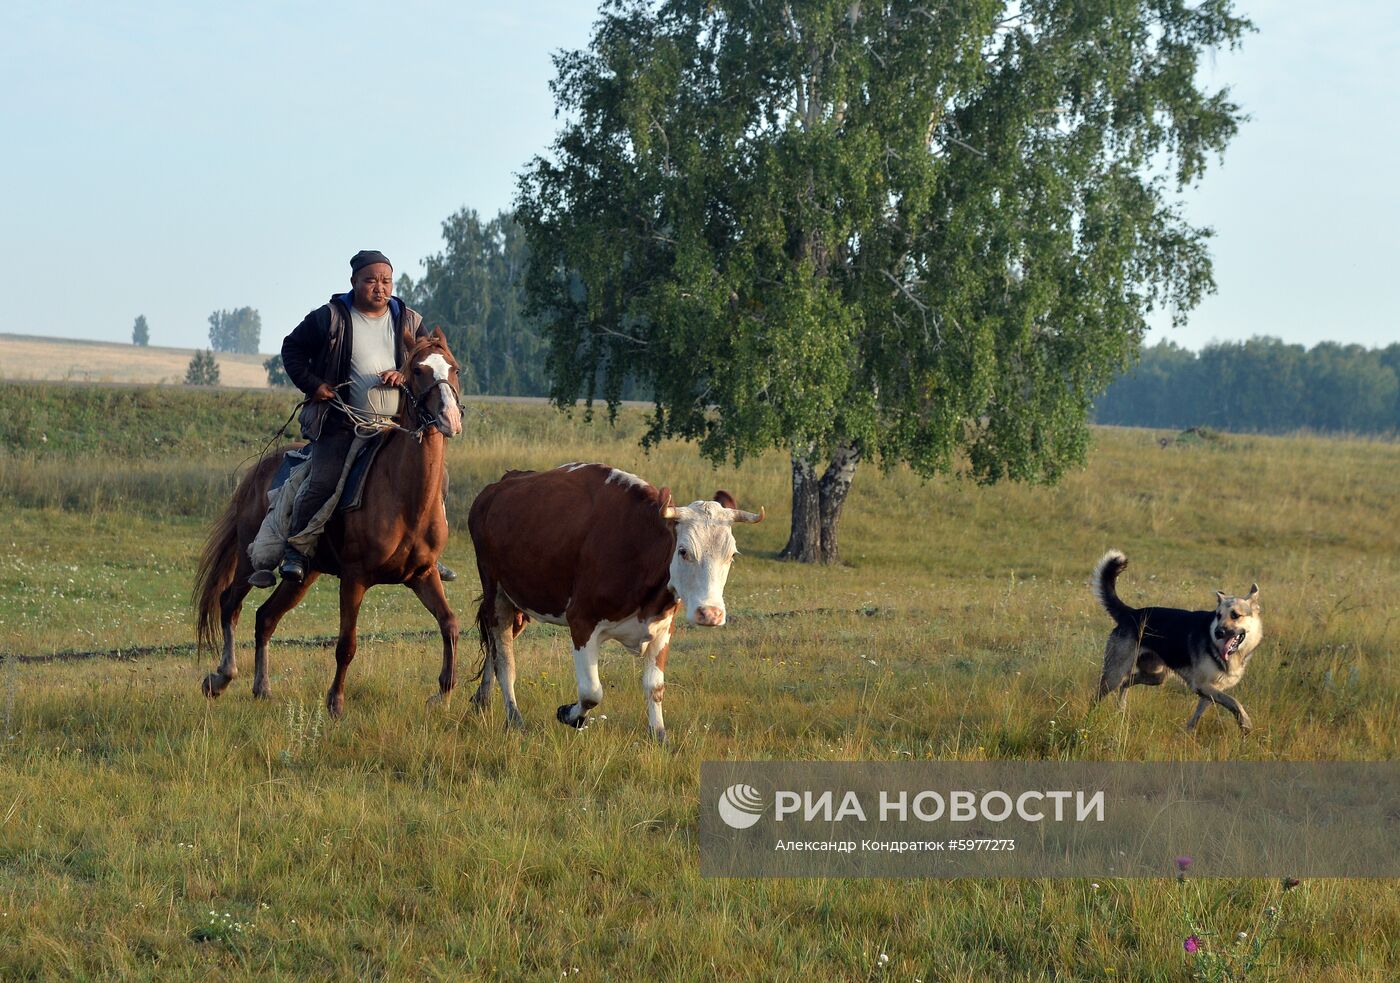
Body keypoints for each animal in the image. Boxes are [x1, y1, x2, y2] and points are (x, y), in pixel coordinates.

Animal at [194, 330, 464, 716]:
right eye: (417, 370)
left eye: (454, 368)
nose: (449, 417)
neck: (404, 496)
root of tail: (258, 471)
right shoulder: (354, 578)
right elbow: (346, 644)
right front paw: (335, 702)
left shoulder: (422, 575)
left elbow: (450, 624)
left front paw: (442, 693)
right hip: (249, 560)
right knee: (230, 603)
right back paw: (221, 677)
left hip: (305, 575)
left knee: (265, 617)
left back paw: (262, 688)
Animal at [464, 464, 761, 744]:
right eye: (684, 551)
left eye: (732, 555)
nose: (710, 614)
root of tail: (500, 484)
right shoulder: (581, 622)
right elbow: (591, 692)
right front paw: (569, 715)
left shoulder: (663, 628)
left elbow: (654, 687)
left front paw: (659, 736)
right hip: (496, 592)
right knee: (504, 658)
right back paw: (514, 719)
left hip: (519, 602)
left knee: (494, 649)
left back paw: (482, 701)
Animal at [1097, 551, 1265, 733]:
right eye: (1218, 615)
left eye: (1235, 615)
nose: (1217, 632)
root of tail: (1130, 613)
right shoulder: (1202, 685)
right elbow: (1234, 701)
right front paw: (1245, 722)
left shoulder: (1211, 690)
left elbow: (1198, 716)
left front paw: (1188, 734)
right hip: (1115, 674)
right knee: (1099, 694)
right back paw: (1092, 717)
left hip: (1156, 676)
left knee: (1126, 682)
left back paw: (1120, 710)